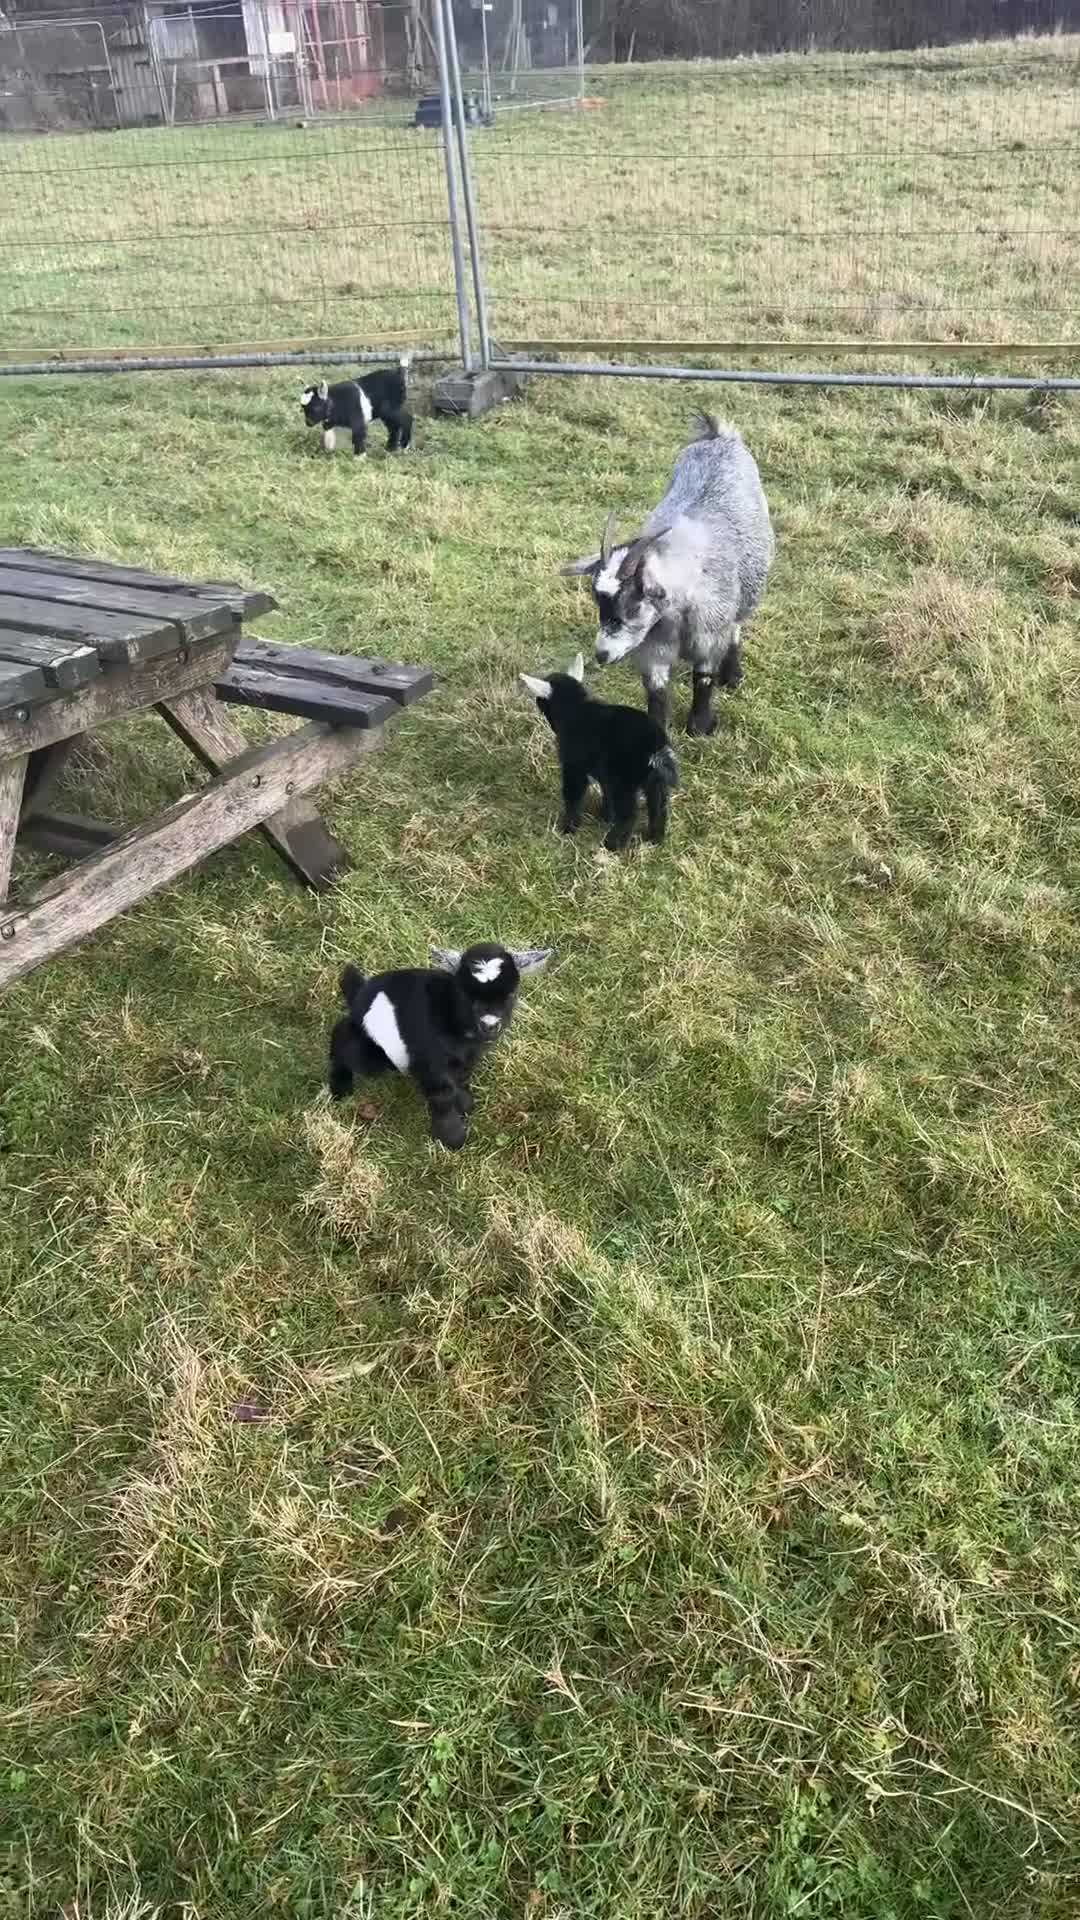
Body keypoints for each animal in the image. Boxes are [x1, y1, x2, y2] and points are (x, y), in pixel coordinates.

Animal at [328, 943, 553, 1149]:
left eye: (510, 995)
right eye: (467, 995)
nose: (490, 1024)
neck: (452, 1014)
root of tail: (359, 995)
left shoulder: (469, 1055)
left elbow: (461, 1078)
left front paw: (465, 1104)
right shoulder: (430, 1058)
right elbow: (442, 1094)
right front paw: (452, 1137)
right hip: (369, 1051)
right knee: (344, 1040)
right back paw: (340, 1087)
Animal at [520, 650, 679, 851]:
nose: (537, 702)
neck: (575, 709)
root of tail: (656, 747)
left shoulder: (573, 766)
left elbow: (573, 793)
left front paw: (568, 828)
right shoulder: (604, 775)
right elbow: (605, 793)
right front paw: (605, 816)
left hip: (623, 781)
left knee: (629, 814)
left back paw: (612, 844)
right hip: (654, 781)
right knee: (658, 808)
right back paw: (655, 839)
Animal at [560, 411, 773, 738]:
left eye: (633, 604)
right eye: (598, 602)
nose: (601, 655)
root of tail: (718, 436)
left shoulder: (708, 635)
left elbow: (703, 678)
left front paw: (700, 726)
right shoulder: (654, 650)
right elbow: (656, 693)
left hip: (747, 590)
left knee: (737, 625)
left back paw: (733, 674)